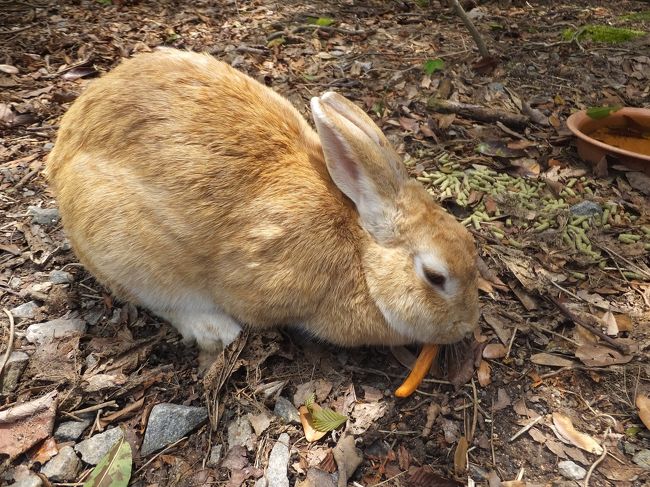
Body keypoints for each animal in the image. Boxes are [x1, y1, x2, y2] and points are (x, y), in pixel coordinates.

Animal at [45, 48, 478, 366]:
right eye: (435, 276)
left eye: (470, 245)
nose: (467, 325)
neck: (361, 254)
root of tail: (60, 158)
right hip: (125, 246)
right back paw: (215, 330)